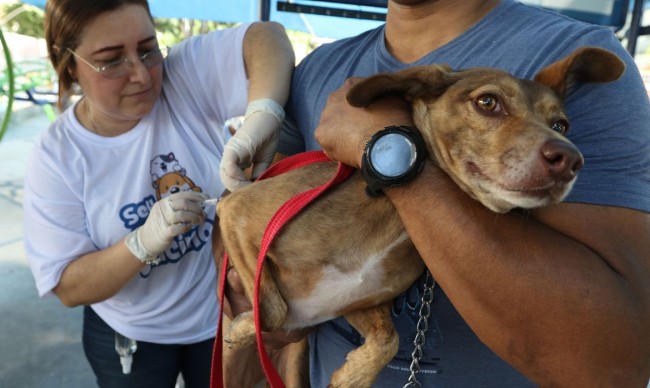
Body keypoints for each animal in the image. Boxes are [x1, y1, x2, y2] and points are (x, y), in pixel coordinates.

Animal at [216, 47, 624, 386]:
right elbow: (274, 311)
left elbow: (388, 339)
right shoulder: (235, 211)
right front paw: (243, 326)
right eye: (487, 102)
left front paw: (354, 375)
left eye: (561, 125)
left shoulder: (354, 300)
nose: (569, 160)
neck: (392, 216)